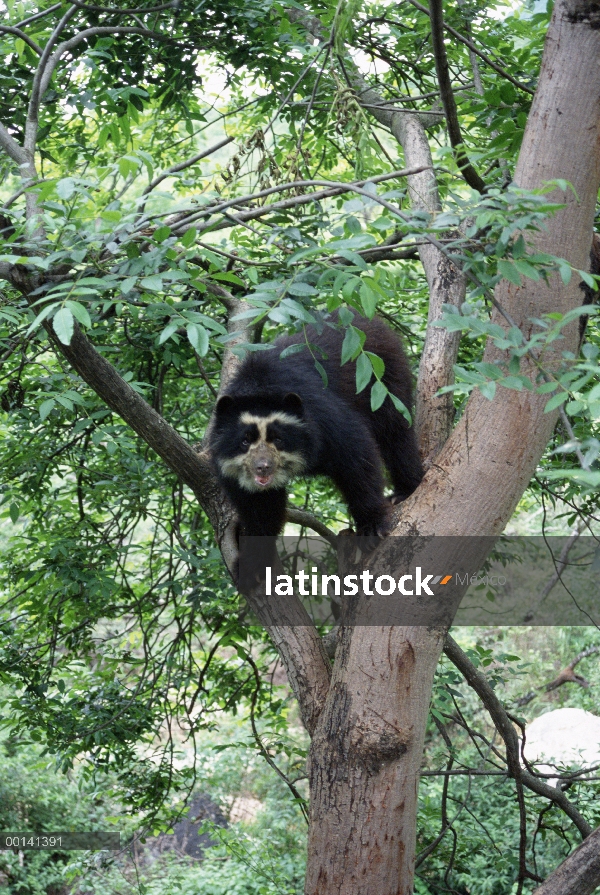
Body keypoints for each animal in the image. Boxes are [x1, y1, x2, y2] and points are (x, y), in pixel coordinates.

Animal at [210, 312, 422, 548]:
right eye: (245, 441)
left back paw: (405, 491)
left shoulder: (323, 418)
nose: (262, 467)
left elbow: (356, 455)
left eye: (278, 439)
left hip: (384, 378)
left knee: (395, 432)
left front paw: (372, 527)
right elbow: (259, 505)